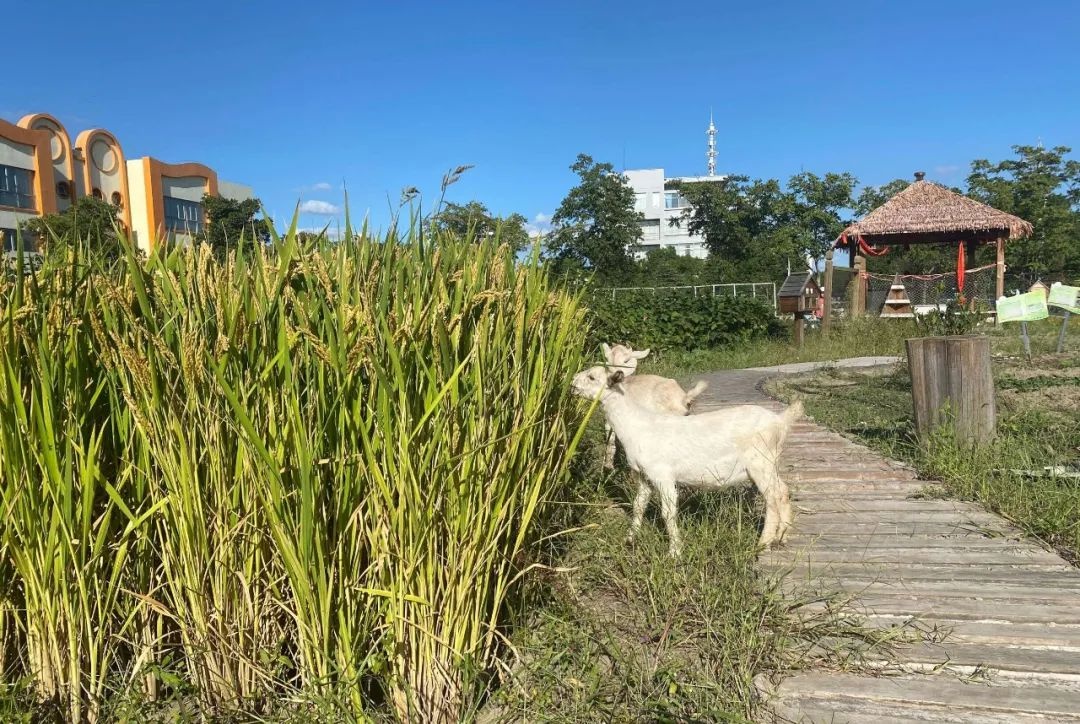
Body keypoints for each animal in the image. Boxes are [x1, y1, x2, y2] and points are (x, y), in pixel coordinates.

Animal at [574, 365, 794, 557]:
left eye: (592, 377)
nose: (573, 384)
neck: (637, 426)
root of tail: (780, 421)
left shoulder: (662, 475)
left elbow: (668, 513)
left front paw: (674, 552)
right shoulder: (644, 476)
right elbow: (638, 506)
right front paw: (630, 539)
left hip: (760, 462)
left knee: (772, 499)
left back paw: (763, 544)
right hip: (769, 463)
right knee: (782, 491)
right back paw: (781, 537)